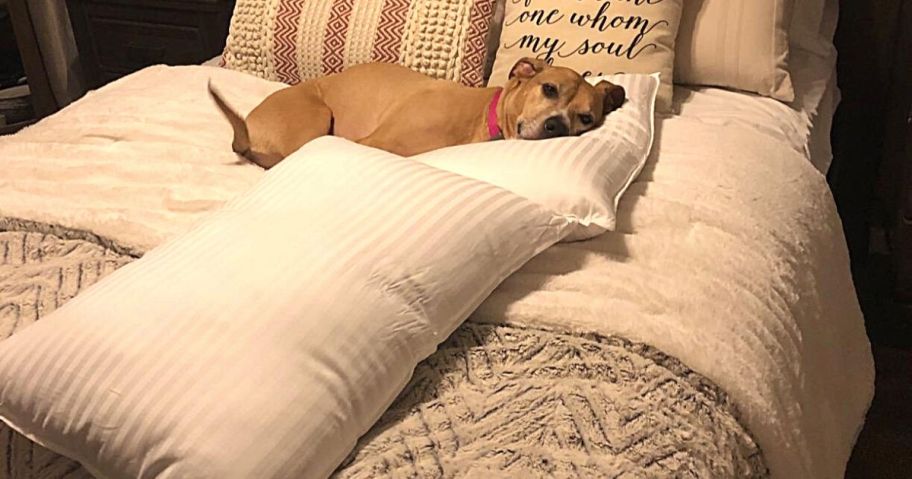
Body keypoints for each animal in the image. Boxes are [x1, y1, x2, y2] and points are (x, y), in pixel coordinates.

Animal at [208, 58, 624, 169]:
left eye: (586, 119)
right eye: (549, 88)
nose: (556, 126)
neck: (481, 116)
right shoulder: (374, 141)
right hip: (315, 117)